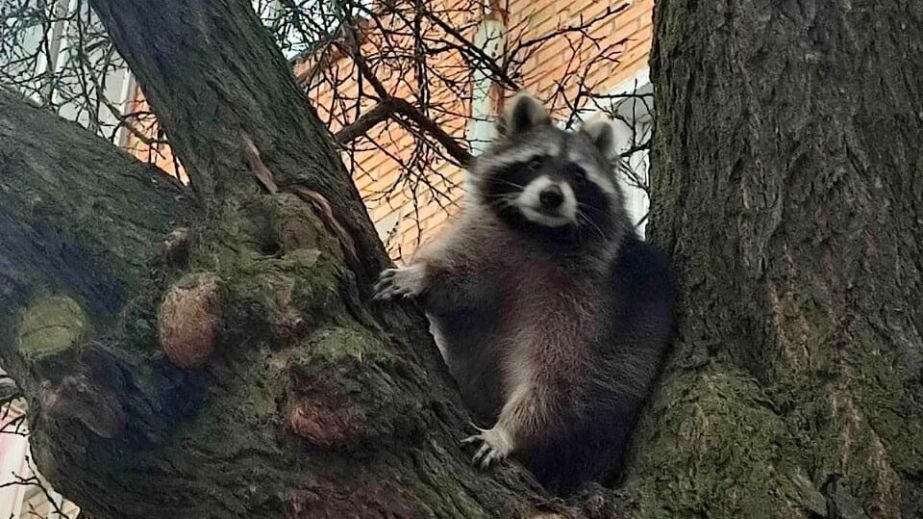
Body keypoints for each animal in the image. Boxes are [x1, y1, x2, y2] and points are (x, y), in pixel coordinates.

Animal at [374, 93, 672, 496]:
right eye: (534, 163)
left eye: (578, 175)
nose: (551, 196)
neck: (541, 234)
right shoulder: (489, 238)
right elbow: (454, 277)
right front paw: (421, 274)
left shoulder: (591, 300)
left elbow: (559, 375)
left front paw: (510, 430)